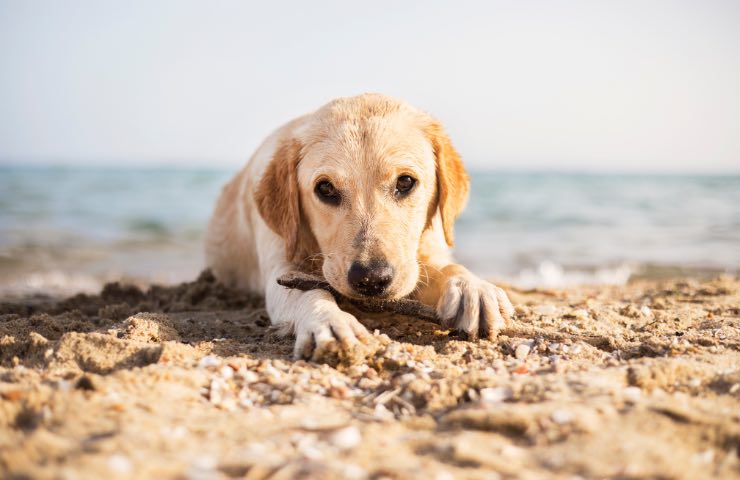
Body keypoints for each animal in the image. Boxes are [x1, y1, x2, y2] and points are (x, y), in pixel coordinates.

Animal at [204, 93, 516, 360]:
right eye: (325, 188)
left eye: (405, 182)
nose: (371, 279)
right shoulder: (280, 268)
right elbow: (309, 292)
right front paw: (329, 320)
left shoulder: (427, 252)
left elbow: (447, 267)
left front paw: (472, 288)